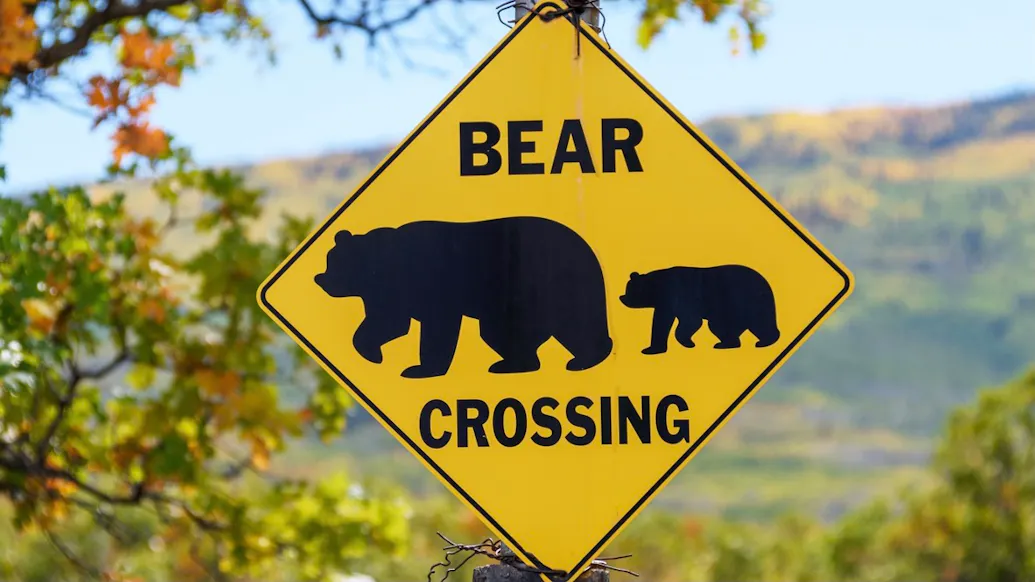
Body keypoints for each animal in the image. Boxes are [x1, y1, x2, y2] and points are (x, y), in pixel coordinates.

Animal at [313, 216, 614, 379]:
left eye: (333, 262)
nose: (320, 279)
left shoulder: (424, 285)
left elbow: (428, 327)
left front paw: (418, 368)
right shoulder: (386, 293)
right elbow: (389, 322)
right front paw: (375, 353)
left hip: (552, 285)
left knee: (575, 326)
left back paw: (583, 359)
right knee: (504, 335)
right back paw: (510, 364)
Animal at [618, 265, 780, 354]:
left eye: (629, 290)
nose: (622, 298)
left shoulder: (675, 295)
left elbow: (672, 321)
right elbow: (684, 321)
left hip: (748, 303)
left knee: (760, 323)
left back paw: (764, 341)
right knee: (723, 329)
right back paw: (725, 344)